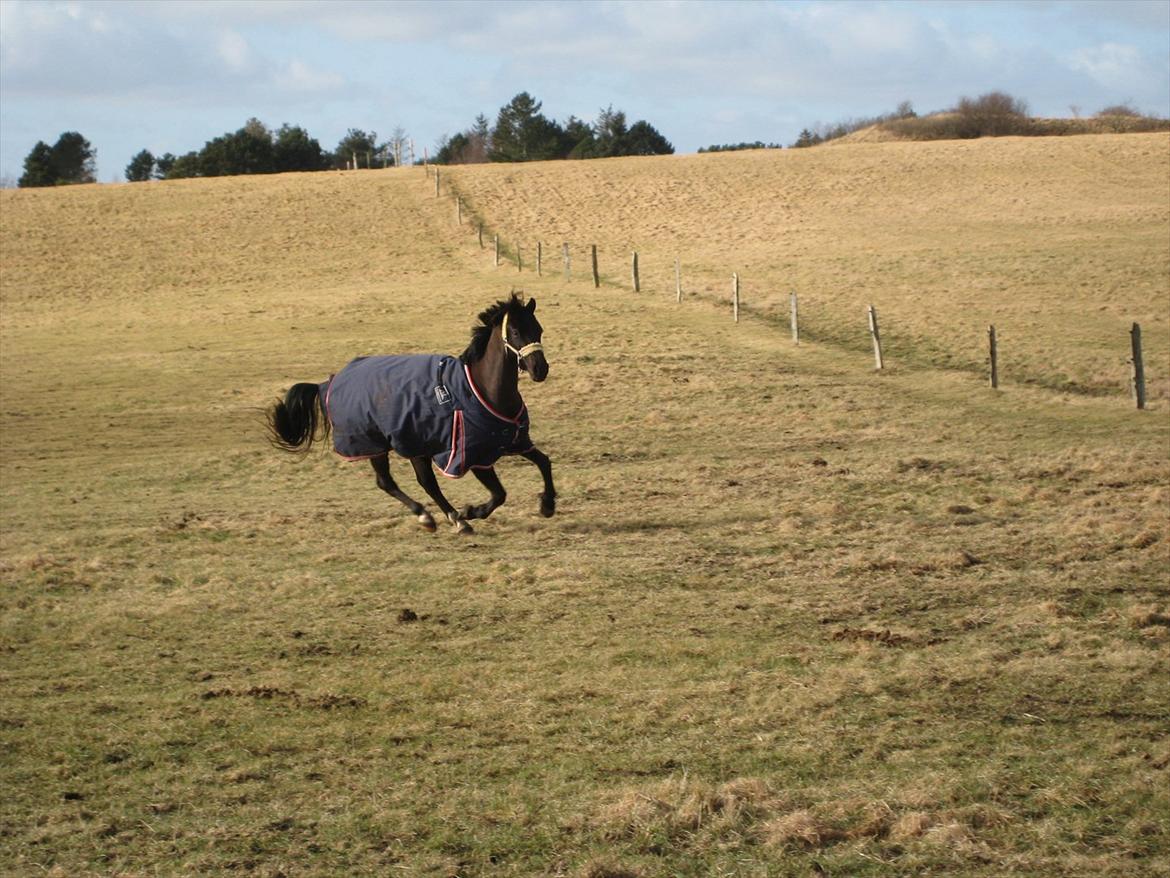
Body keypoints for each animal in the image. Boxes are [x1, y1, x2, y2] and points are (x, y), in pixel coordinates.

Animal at [266, 293, 556, 536]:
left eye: (539, 329)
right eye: (516, 331)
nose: (540, 369)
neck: (483, 389)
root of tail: (329, 382)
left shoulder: (513, 441)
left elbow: (544, 462)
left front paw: (548, 505)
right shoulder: (473, 456)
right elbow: (499, 494)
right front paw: (471, 511)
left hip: (415, 445)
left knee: (424, 482)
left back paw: (444, 518)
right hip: (375, 444)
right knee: (389, 482)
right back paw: (442, 518)